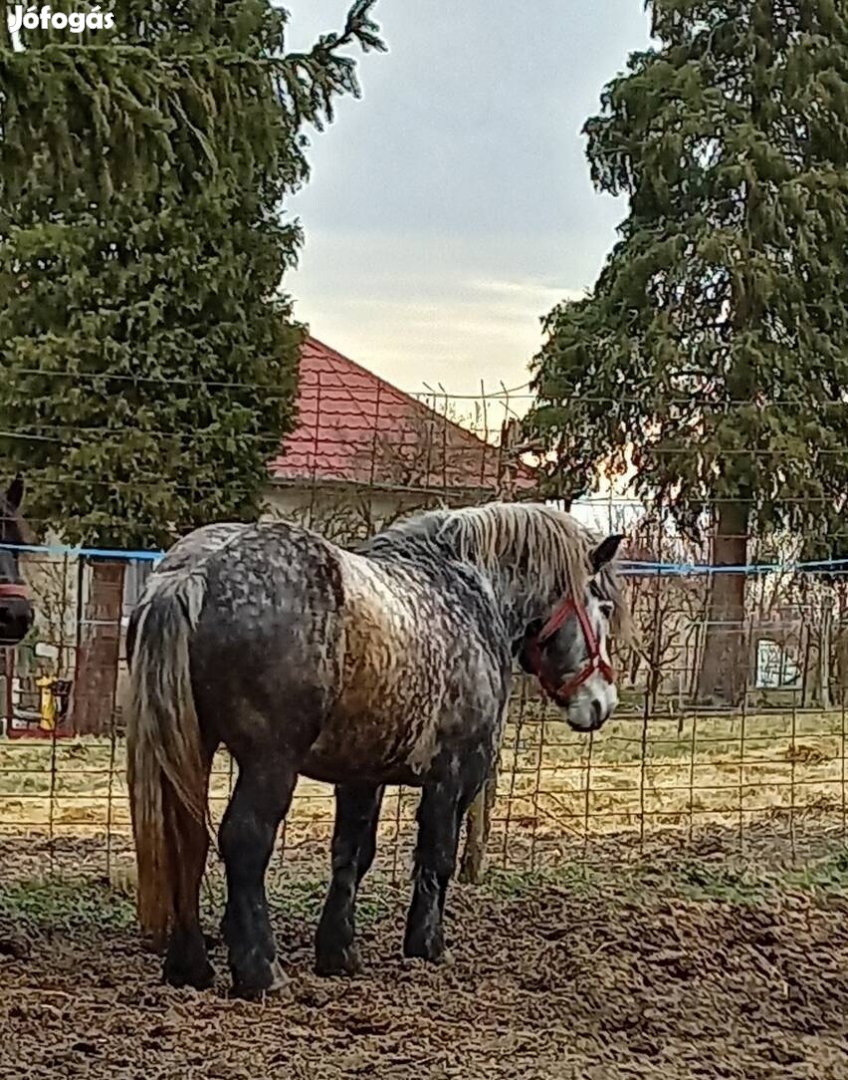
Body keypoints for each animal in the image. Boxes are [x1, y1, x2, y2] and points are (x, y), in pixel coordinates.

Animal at [125, 501, 626, 997]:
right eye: (602, 606)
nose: (601, 702)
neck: (467, 592)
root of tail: (196, 572)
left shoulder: (362, 777)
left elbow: (352, 854)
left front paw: (338, 952)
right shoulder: (454, 775)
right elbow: (437, 856)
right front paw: (427, 946)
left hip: (193, 749)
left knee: (186, 839)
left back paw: (190, 967)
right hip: (270, 763)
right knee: (244, 842)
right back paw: (262, 972)